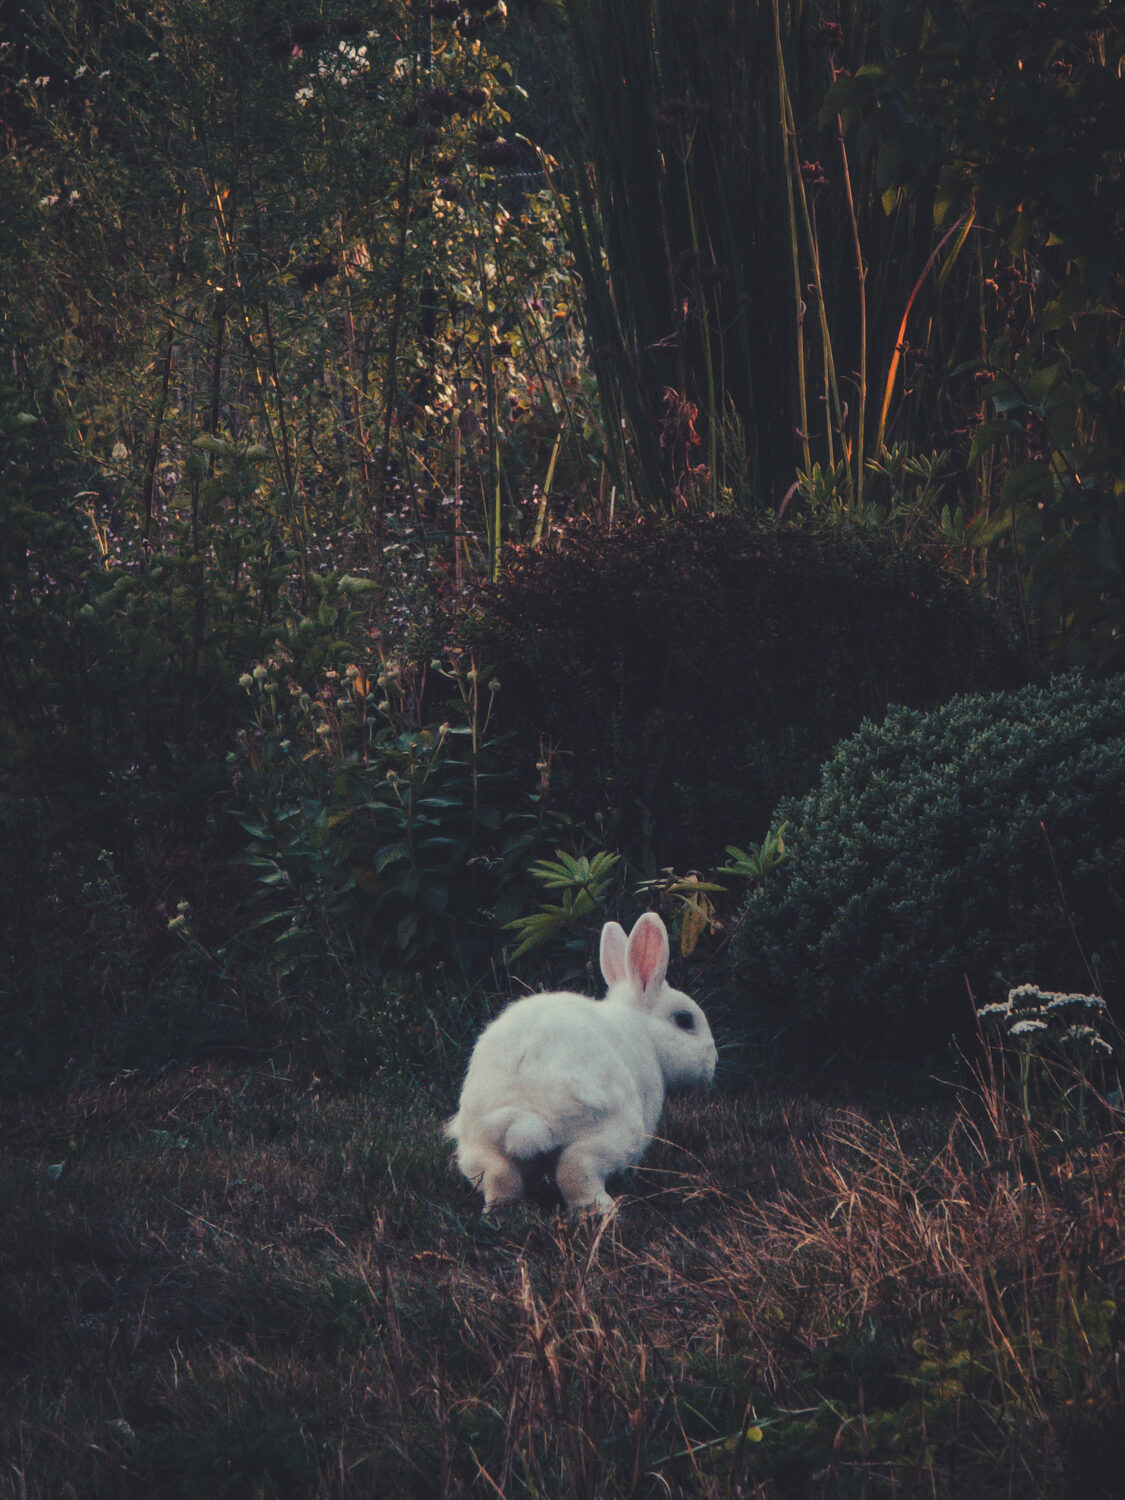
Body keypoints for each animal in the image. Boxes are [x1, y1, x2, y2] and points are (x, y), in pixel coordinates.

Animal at [446, 911, 717, 1212]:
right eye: (685, 1020)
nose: (711, 1064)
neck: (642, 1030)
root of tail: (525, 1112)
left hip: (480, 1146)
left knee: (499, 1179)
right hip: (610, 1134)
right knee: (576, 1170)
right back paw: (606, 1210)